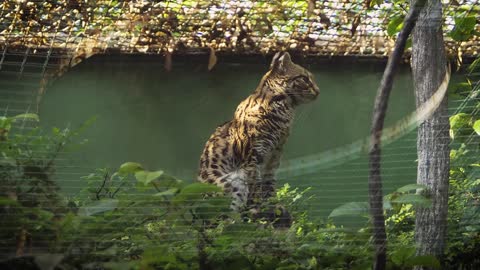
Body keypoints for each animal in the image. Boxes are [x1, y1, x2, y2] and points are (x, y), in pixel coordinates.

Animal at [198, 52, 318, 212]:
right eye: (304, 78)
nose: (318, 91)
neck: (284, 108)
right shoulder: (253, 156)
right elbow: (256, 185)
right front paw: (258, 207)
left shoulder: (274, 155)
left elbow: (269, 183)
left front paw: (273, 204)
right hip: (233, 183)